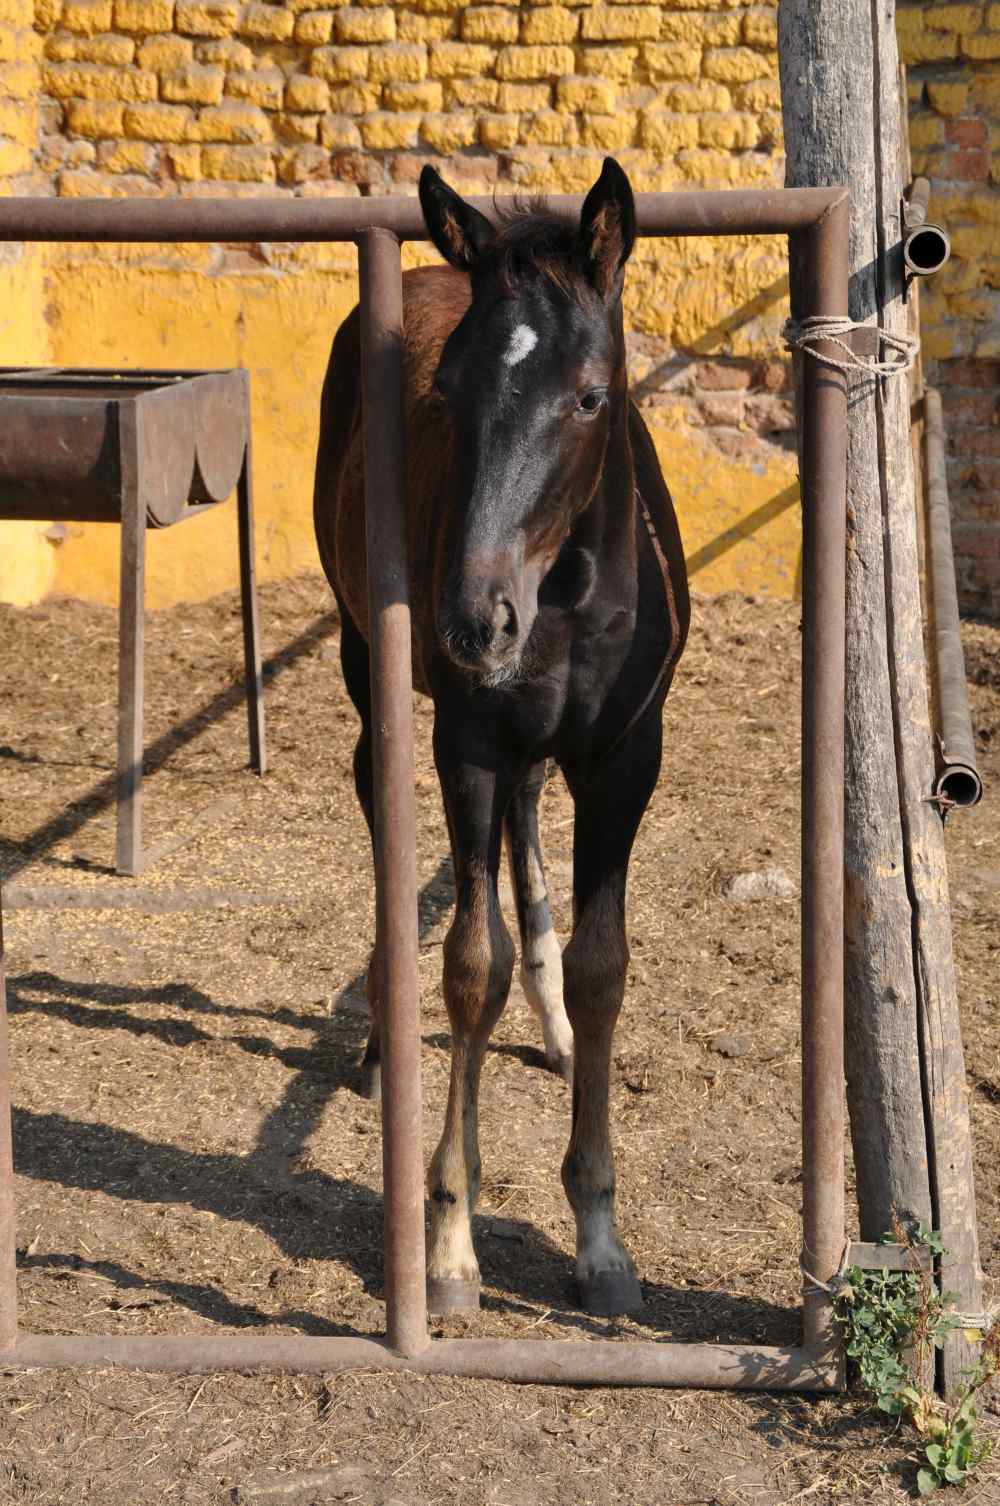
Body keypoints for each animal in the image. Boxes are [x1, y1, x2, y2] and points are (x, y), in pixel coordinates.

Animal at [314, 157, 689, 1319]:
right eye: (445, 395)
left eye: (590, 396)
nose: (474, 621)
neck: (563, 591)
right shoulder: (468, 740)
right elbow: (467, 967)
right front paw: (447, 1245)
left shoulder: (627, 756)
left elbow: (607, 967)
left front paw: (602, 1238)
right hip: (367, 656)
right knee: (381, 806)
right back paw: (382, 1039)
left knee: (529, 814)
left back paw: (554, 1024)